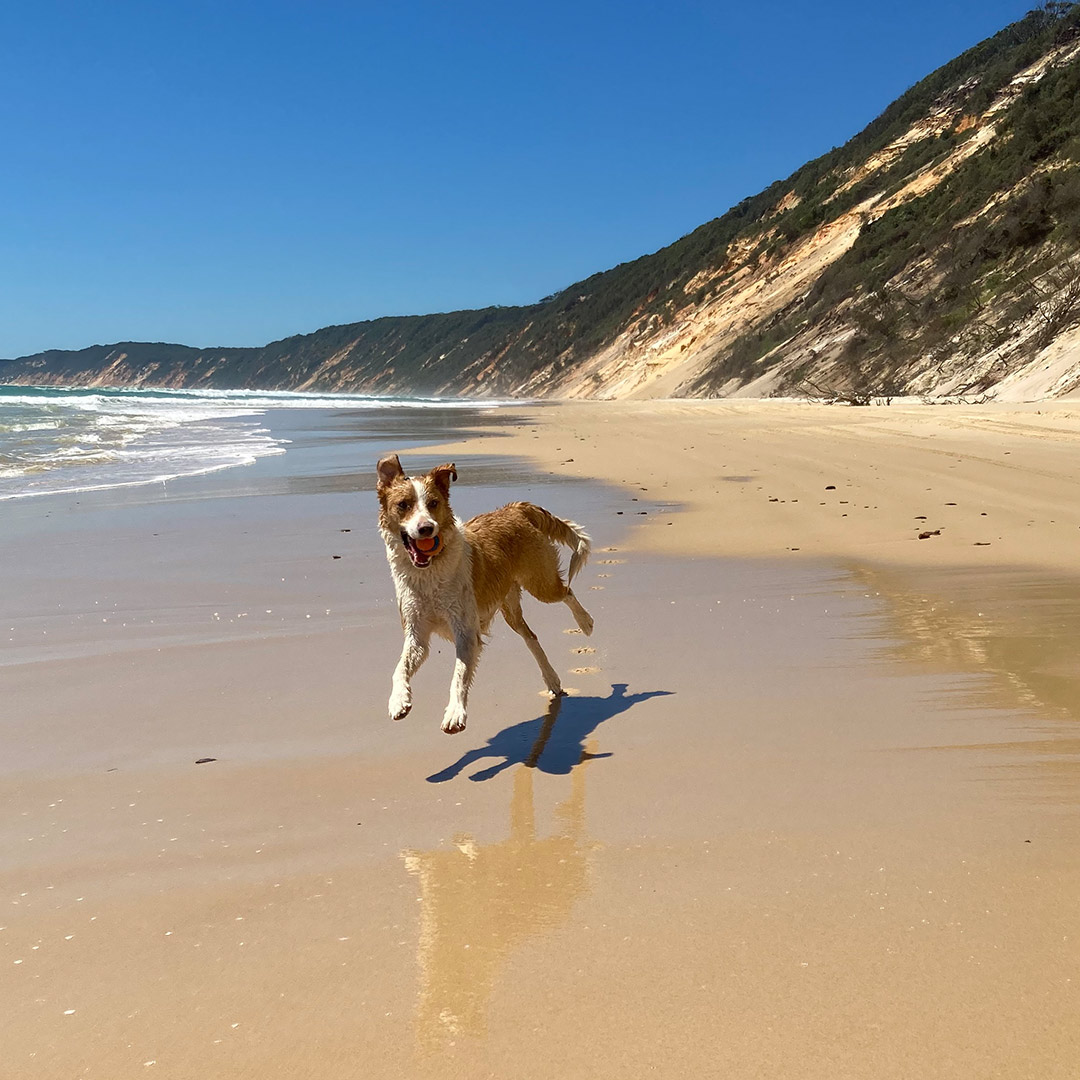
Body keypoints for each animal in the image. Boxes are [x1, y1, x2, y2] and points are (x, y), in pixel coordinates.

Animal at [375, 455, 596, 734]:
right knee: (531, 636)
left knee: (566, 591)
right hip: (509, 606)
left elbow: (459, 675)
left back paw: (585, 622)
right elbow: (399, 668)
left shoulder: (466, 631)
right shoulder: (417, 634)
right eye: (403, 505)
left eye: (433, 503)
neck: (430, 573)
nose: (426, 529)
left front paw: (455, 713)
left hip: (540, 582)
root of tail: (514, 508)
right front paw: (398, 701)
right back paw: (552, 678)